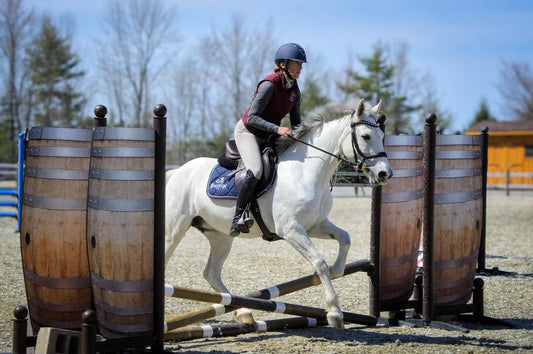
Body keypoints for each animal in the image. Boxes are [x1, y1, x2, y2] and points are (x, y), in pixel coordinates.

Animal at [164, 97, 392, 330]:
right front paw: (335, 312)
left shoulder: (315, 224)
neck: (307, 172)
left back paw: (243, 312)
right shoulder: (291, 229)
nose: (385, 174)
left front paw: (337, 270)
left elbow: (345, 238)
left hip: (220, 235)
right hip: (175, 230)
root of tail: (177, 172)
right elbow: (319, 262)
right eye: (365, 136)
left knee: (211, 273)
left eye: (381, 136)